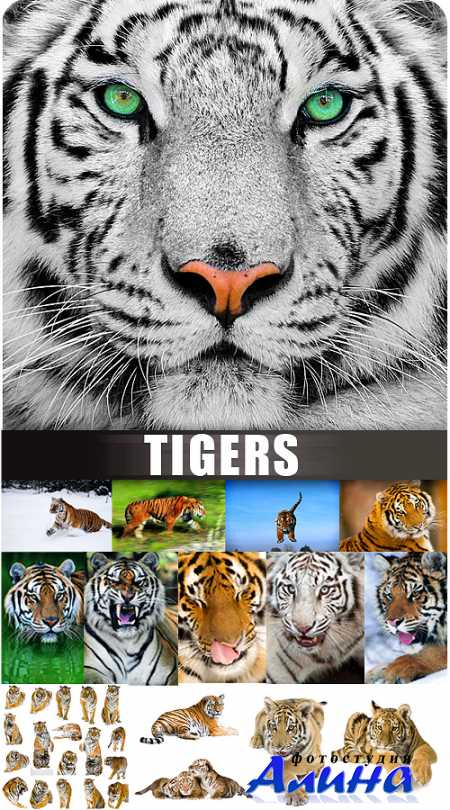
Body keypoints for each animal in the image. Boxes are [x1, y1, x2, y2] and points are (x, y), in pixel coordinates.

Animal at [84, 553, 178, 685]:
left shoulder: (171, 672)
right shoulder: (90, 669)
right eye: (114, 581)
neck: (126, 643)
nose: (127, 595)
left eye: (139, 582)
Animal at [366, 551, 447, 684]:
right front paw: (374, 673)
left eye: (414, 593)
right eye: (389, 595)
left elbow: (436, 652)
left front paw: (396, 669)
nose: (392, 622)